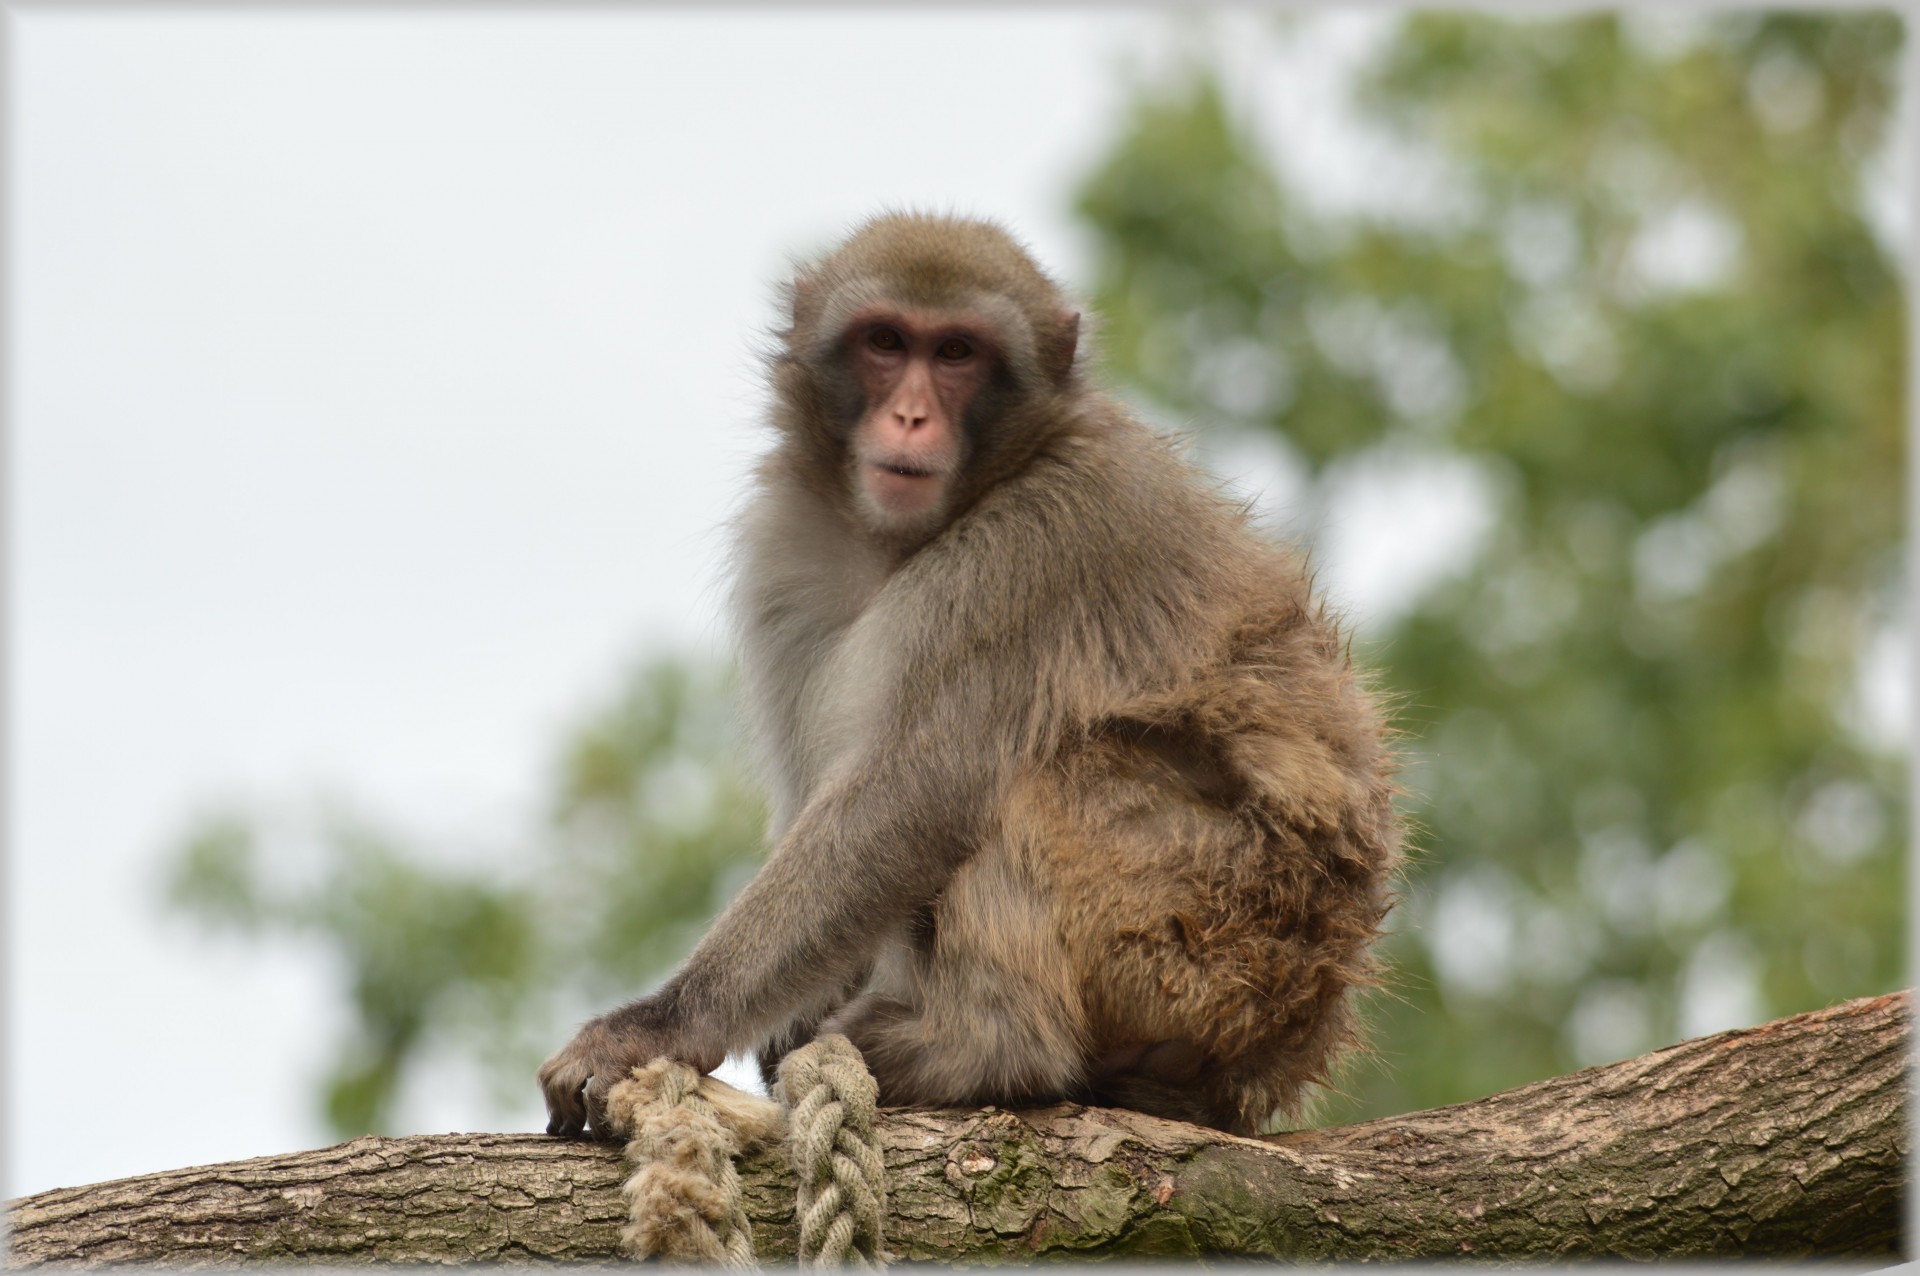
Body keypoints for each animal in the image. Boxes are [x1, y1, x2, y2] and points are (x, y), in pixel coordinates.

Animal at [541, 211, 1397, 1135]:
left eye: (957, 353)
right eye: (885, 341)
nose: (912, 415)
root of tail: (1285, 1045)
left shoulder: (1034, 548)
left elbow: (908, 796)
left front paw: (662, 1025)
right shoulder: (784, 546)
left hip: (1206, 932)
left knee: (1036, 783)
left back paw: (989, 1049)